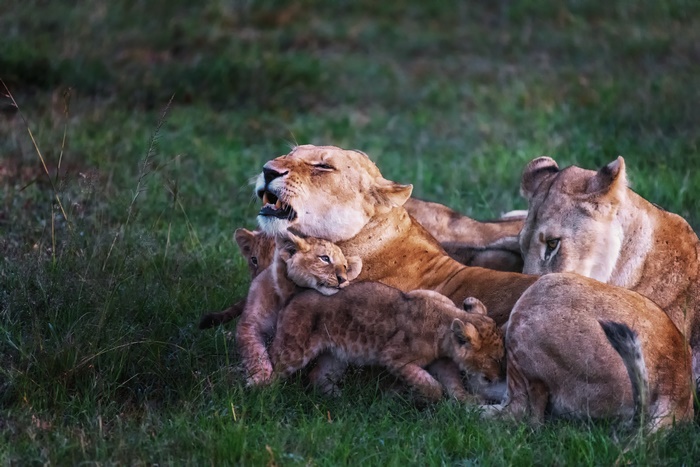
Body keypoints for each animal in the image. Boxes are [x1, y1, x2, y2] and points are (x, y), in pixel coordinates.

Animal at [236, 230, 362, 386]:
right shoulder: (249, 324)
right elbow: (254, 350)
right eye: (325, 258)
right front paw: (260, 377)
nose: (343, 279)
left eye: (345, 266)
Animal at [270, 289, 504, 402]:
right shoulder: (394, 358)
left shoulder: (442, 361)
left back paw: (342, 399)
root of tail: (293, 297)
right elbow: (431, 385)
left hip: (336, 355)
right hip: (295, 347)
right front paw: (415, 397)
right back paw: (264, 396)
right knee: (274, 364)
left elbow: (452, 383)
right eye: (494, 358)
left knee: (318, 376)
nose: (499, 377)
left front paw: (469, 401)